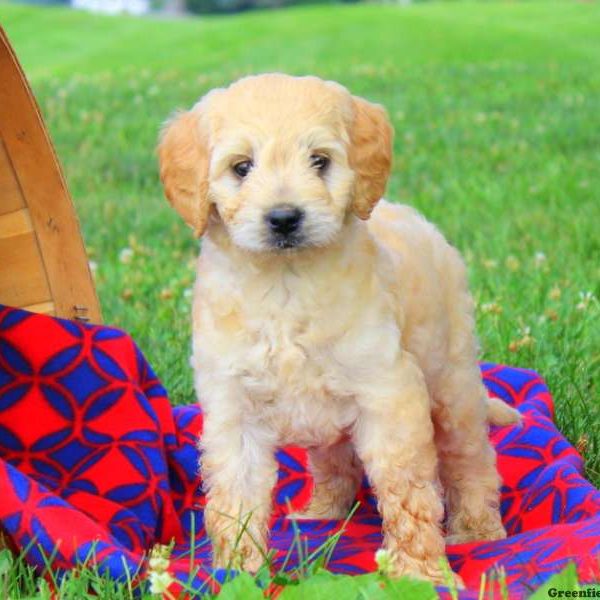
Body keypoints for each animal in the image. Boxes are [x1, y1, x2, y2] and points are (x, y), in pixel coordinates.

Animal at [157, 72, 516, 584]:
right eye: (242, 167)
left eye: (319, 161)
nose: (284, 217)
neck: (285, 284)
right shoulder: (232, 407)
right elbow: (236, 497)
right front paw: (239, 572)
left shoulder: (388, 393)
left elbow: (406, 490)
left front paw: (418, 573)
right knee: (333, 461)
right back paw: (322, 511)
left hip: (453, 381)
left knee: (470, 458)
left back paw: (477, 530)